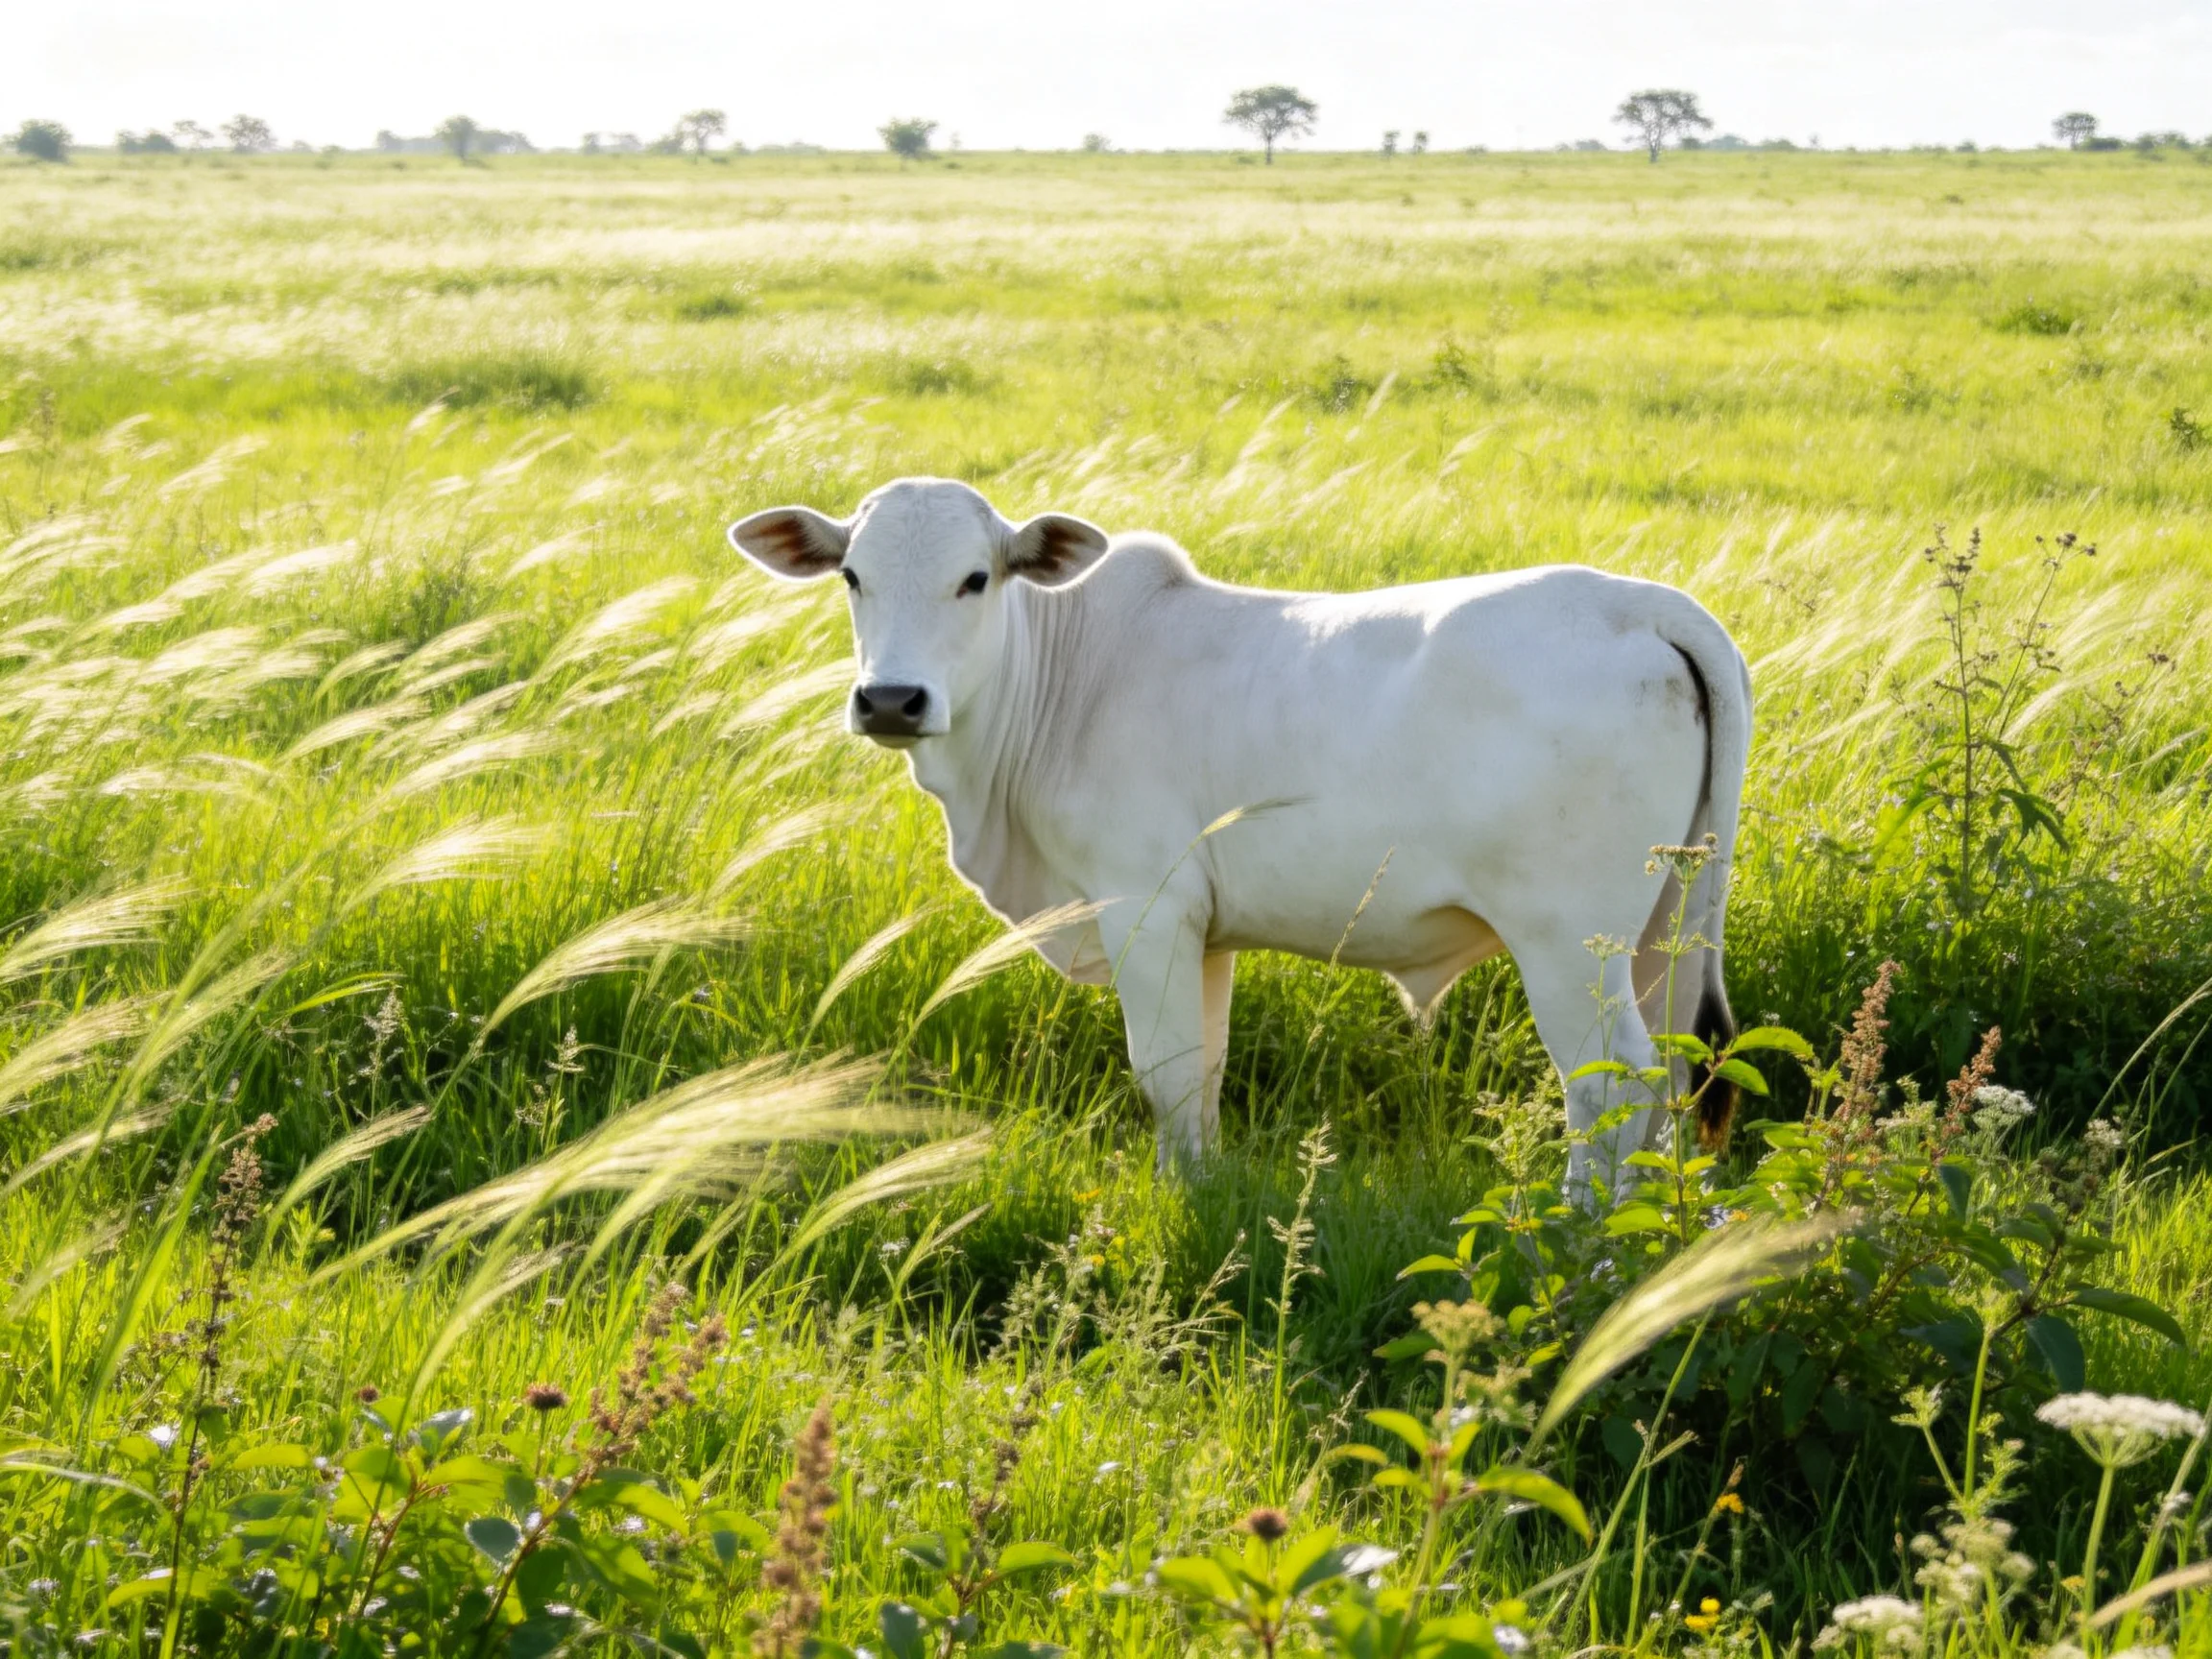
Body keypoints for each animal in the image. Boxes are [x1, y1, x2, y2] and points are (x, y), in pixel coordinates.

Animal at [729, 477, 1751, 1198]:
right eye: (852, 577)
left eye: (975, 579)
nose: (891, 699)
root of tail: (1640, 605)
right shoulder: (1204, 933)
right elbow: (1205, 1073)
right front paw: (1202, 1186)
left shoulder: (1144, 909)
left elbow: (1165, 1071)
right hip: (1664, 928)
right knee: (1673, 1074)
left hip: (1568, 943)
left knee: (1612, 1085)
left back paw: (1584, 1240)